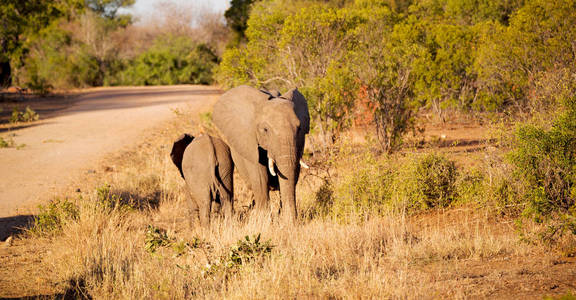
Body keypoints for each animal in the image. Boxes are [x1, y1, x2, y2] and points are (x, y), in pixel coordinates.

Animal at [213, 85, 310, 221]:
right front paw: (263, 220)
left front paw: (284, 220)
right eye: (265, 130)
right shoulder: (250, 141)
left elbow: (293, 174)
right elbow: (259, 175)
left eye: (299, 128)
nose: (294, 222)